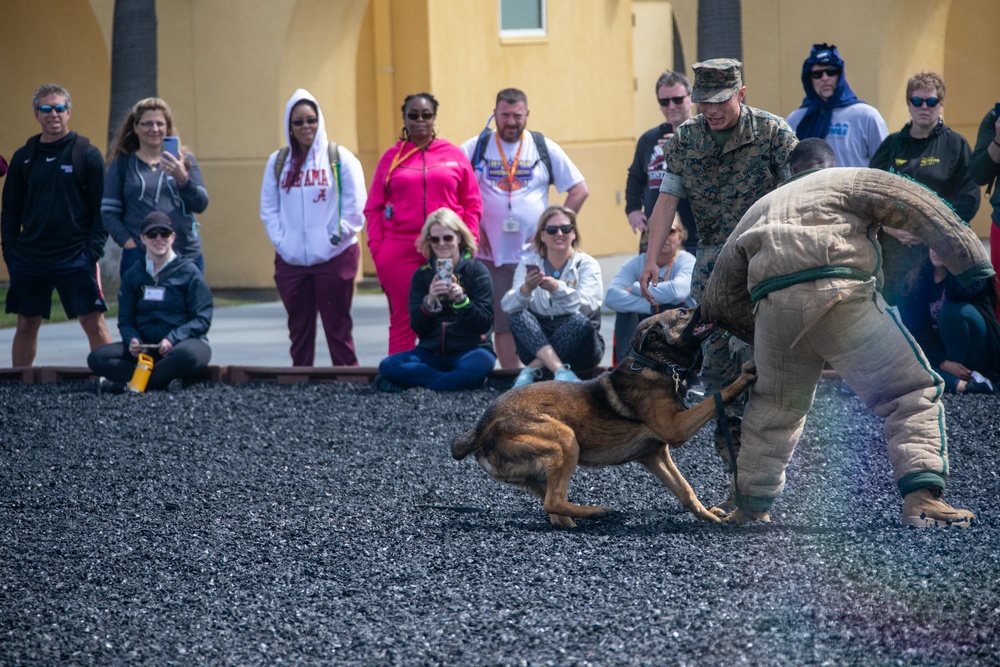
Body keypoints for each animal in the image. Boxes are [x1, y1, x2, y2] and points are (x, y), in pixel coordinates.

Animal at [450, 306, 752, 528]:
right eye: (682, 312)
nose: (702, 303)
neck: (655, 364)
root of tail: (480, 429)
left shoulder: (656, 456)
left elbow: (685, 489)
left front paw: (707, 515)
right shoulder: (676, 428)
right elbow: (718, 396)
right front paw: (745, 376)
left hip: (543, 470)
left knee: (554, 509)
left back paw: (574, 520)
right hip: (565, 439)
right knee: (553, 502)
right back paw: (598, 511)